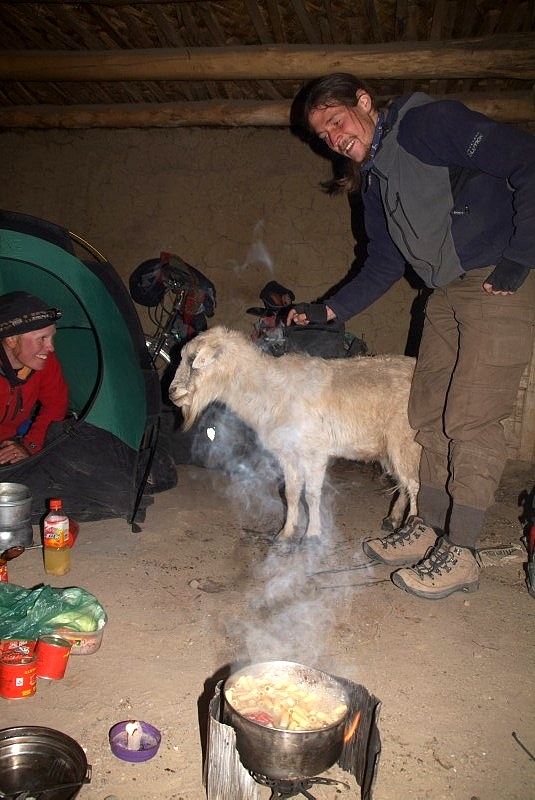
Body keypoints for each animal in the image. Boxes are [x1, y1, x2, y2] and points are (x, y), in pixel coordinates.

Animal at [170, 326, 420, 544]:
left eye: (193, 360)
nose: (172, 392)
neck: (270, 390)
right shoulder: (288, 453)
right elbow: (290, 493)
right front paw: (286, 532)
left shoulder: (314, 452)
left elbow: (311, 495)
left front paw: (312, 536)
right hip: (388, 449)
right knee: (402, 481)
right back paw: (393, 519)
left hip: (406, 442)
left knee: (413, 485)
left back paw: (411, 525)